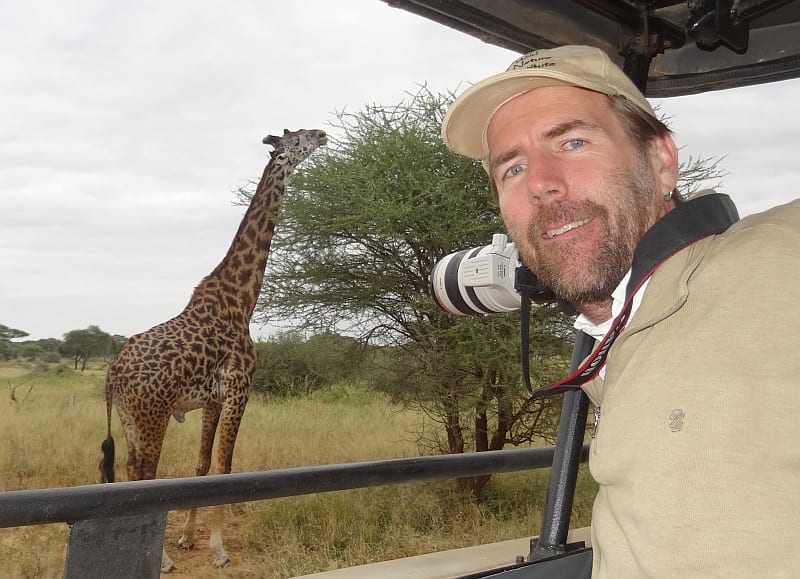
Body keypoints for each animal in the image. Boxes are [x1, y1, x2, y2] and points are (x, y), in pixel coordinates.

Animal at [98, 128, 327, 571]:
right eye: (298, 138)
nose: (323, 134)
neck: (241, 300)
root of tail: (113, 373)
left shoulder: (213, 399)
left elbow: (202, 465)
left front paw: (189, 537)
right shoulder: (240, 387)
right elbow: (225, 467)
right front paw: (219, 550)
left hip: (130, 419)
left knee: (129, 470)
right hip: (151, 417)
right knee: (142, 475)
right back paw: (162, 560)